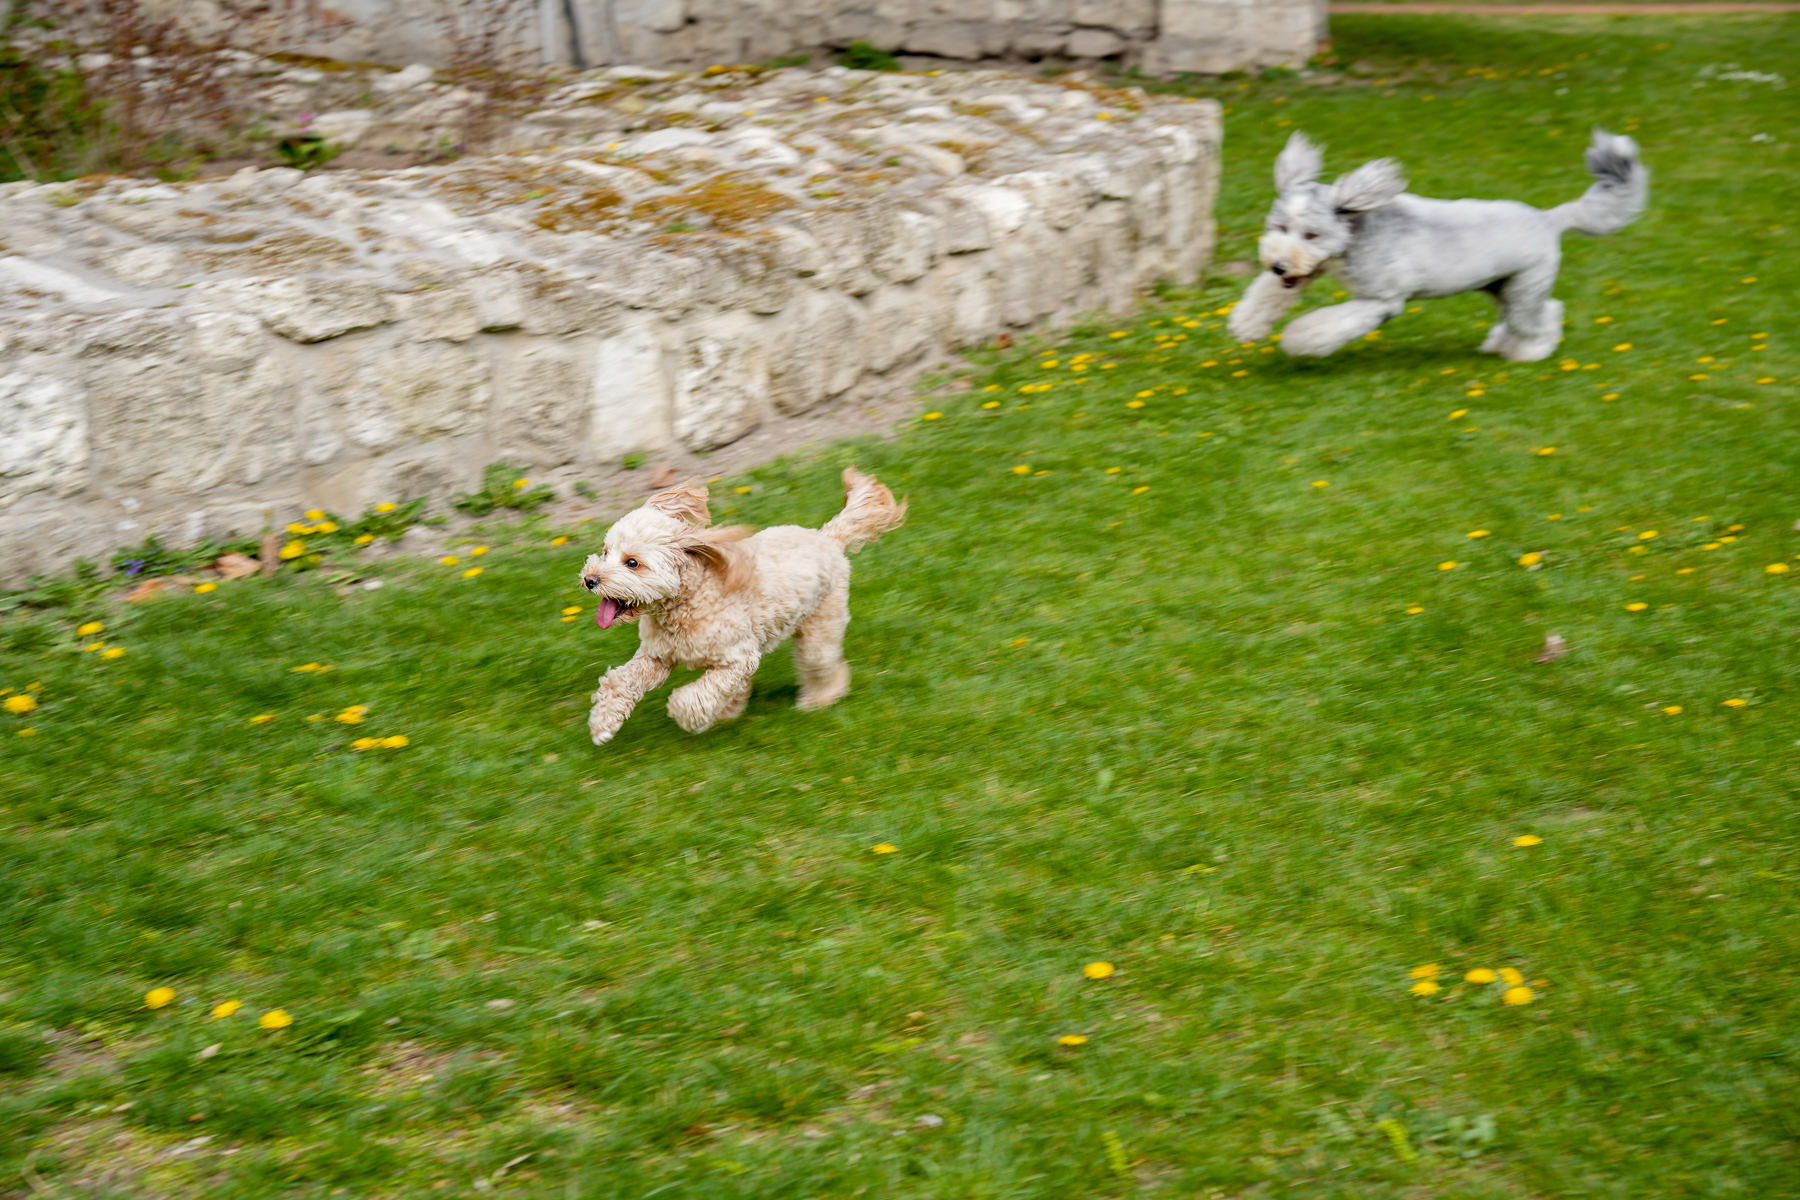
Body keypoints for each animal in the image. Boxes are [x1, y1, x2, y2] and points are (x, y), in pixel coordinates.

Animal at [580, 468, 906, 746]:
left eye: (632, 563)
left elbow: (699, 695)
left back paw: (819, 700)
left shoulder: (739, 659)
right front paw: (602, 723)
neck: (688, 601)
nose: (589, 579)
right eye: (605, 551)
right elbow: (620, 681)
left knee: (822, 666)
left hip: (820, 629)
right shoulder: (657, 657)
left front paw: (685, 713)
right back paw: (730, 711)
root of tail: (828, 537)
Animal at [1227, 129, 1647, 361]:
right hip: (1501, 288)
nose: (1279, 265)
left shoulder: (1380, 302)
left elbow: (1324, 325)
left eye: (1311, 236)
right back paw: (1501, 345)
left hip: (1524, 288)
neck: (1359, 230)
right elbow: (1267, 295)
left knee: (1540, 318)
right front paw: (1247, 324)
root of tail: (1549, 218)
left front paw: (1297, 341)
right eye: (1280, 227)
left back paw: (1530, 352)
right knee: (1543, 311)